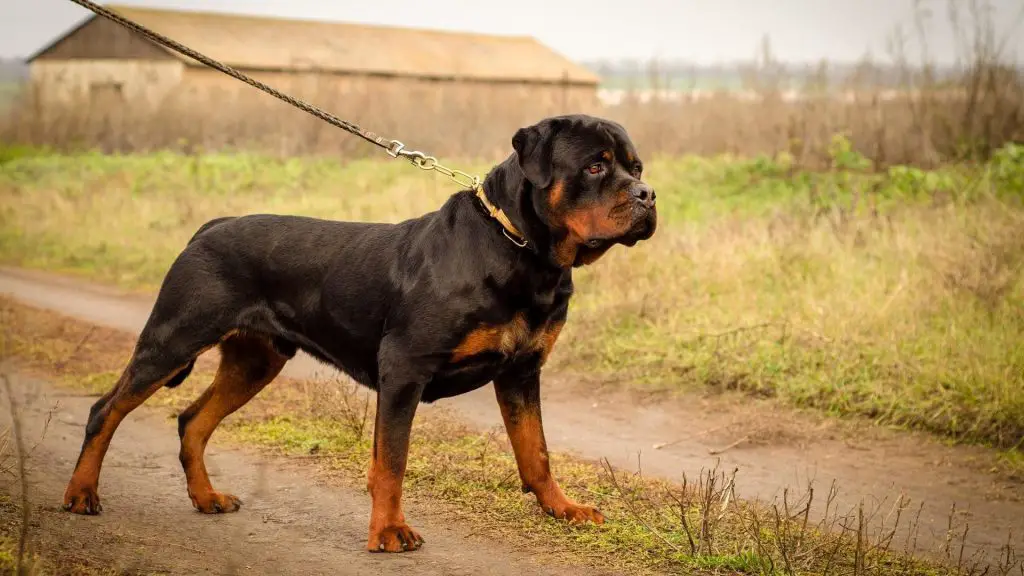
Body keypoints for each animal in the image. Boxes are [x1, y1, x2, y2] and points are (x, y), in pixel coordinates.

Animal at [61, 113, 655, 553]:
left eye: (636, 166)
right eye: (596, 166)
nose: (648, 195)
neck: (523, 252)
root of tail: (209, 227)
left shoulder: (521, 371)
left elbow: (537, 453)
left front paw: (563, 508)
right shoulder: (405, 370)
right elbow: (391, 461)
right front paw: (389, 530)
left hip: (256, 361)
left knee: (193, 420)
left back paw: (206, 498)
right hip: (172, 339)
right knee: (106, 410)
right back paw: (82, 494)